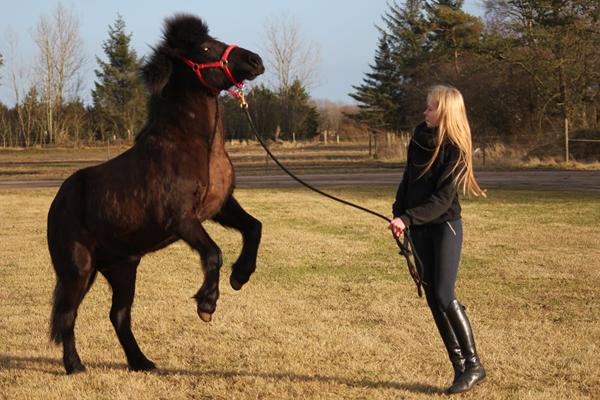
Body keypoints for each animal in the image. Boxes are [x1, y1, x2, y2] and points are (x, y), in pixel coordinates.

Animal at [50, 13, 266, 376]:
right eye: (205, 48)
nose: (255, 61)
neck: (195, 146)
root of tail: (59, 200)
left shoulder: (221, 207)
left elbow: (254, 227)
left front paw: (240, 276)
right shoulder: (183, 219)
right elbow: (213, 253)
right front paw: (207, 304)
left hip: (122, 269)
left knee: (118, 316)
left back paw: (141, 362)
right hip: (78, 269)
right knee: (68, 315)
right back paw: (75, 366)